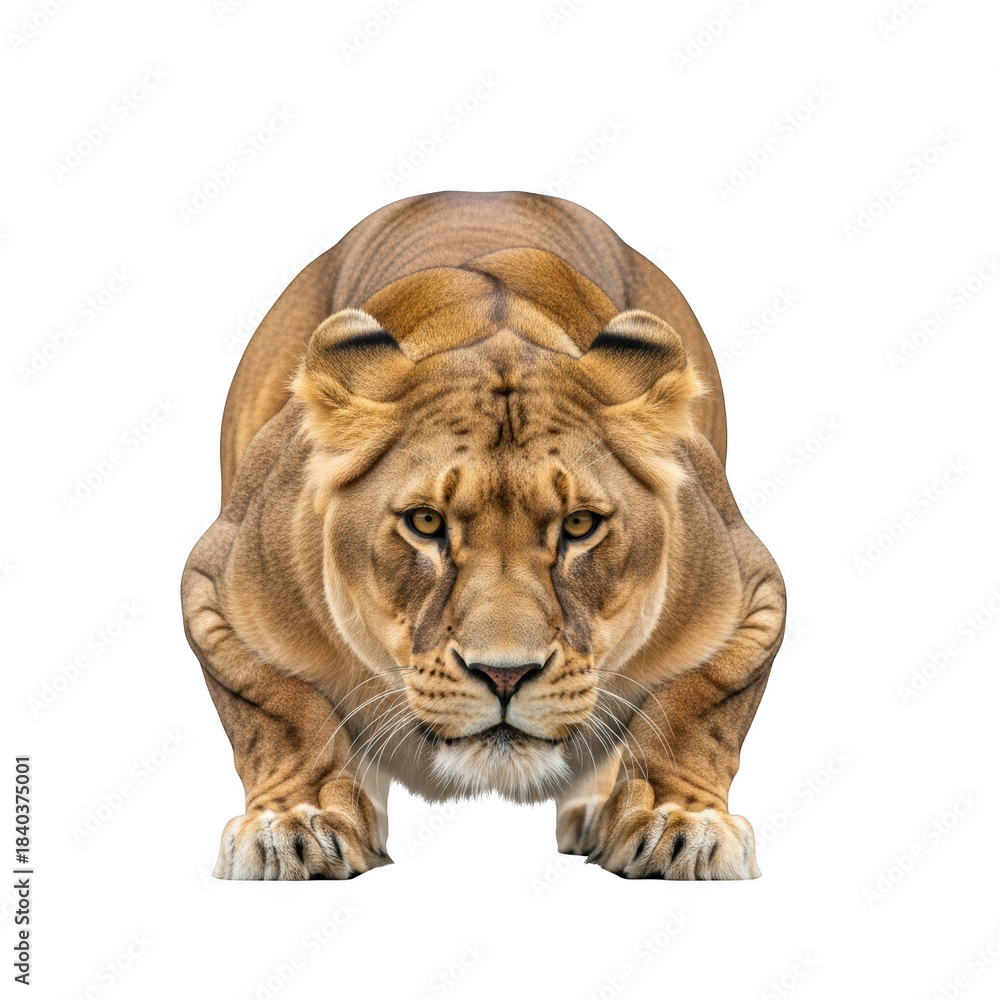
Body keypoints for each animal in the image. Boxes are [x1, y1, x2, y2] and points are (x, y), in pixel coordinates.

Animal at [181, 190, 786, 880]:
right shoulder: (214, 588)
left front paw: (680, 823)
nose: (505, 676)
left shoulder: (753, 594)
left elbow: (692, 709)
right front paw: (294, 825)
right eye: (425, 523)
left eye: (579, 525)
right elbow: (283, 710)